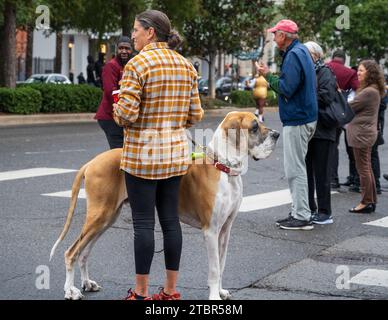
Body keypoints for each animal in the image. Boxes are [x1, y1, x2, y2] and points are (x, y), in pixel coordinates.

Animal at [49, 112, 278, 300]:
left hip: (107, 218)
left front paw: (220, 291)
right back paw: (70, 291)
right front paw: (214, 297)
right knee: (71, 252)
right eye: (254, 126)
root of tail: (91, 162)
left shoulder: (225, 230)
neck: (222, 166)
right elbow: (214, 269)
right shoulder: (211, 231)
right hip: (99, 215)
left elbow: (221, 265)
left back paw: (87, 283)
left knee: (84, 252)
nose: (276, 135)